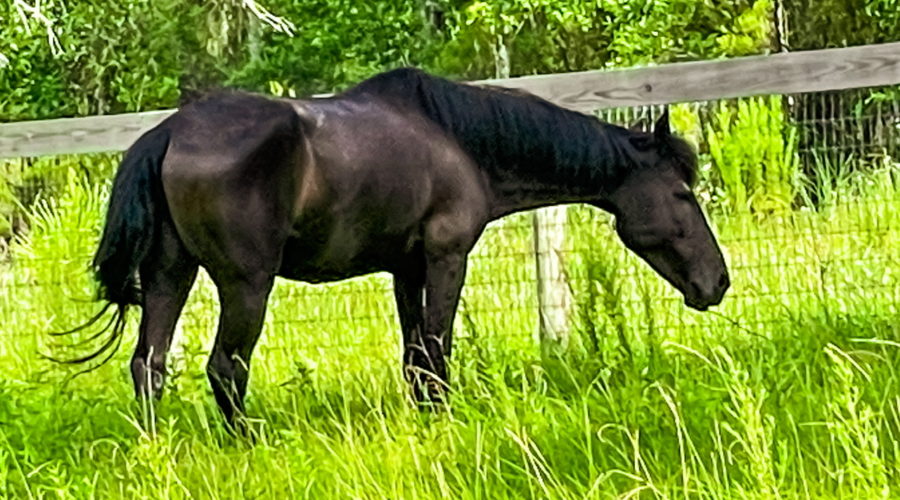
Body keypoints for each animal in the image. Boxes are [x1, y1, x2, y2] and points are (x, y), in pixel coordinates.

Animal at [65, 67, 729, 423]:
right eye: (681, 193)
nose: (717, 282)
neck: (459, 141)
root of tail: (173, 131)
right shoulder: (445, 258)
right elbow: (436, 352)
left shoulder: (405, 270)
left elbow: (414, 359)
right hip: (245, 284)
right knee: (225, 368)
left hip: (170, 275)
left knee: (149, 365)